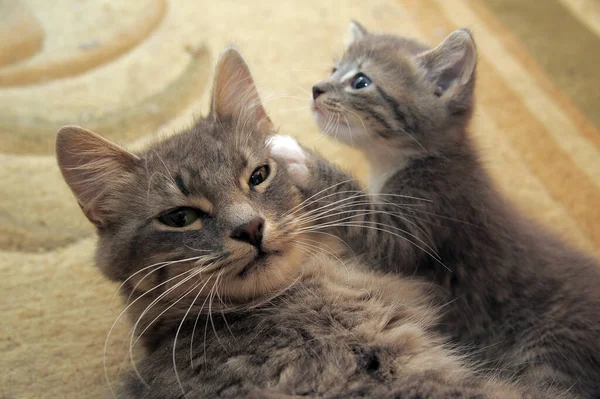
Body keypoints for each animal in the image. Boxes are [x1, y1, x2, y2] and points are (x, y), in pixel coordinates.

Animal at [270, 25, 600, 399]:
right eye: (334, 69)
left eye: (361, 81)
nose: (317, 88)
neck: (413, 159)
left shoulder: (425, 214)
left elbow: (362, 217)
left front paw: (299, 158)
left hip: (551, 352)